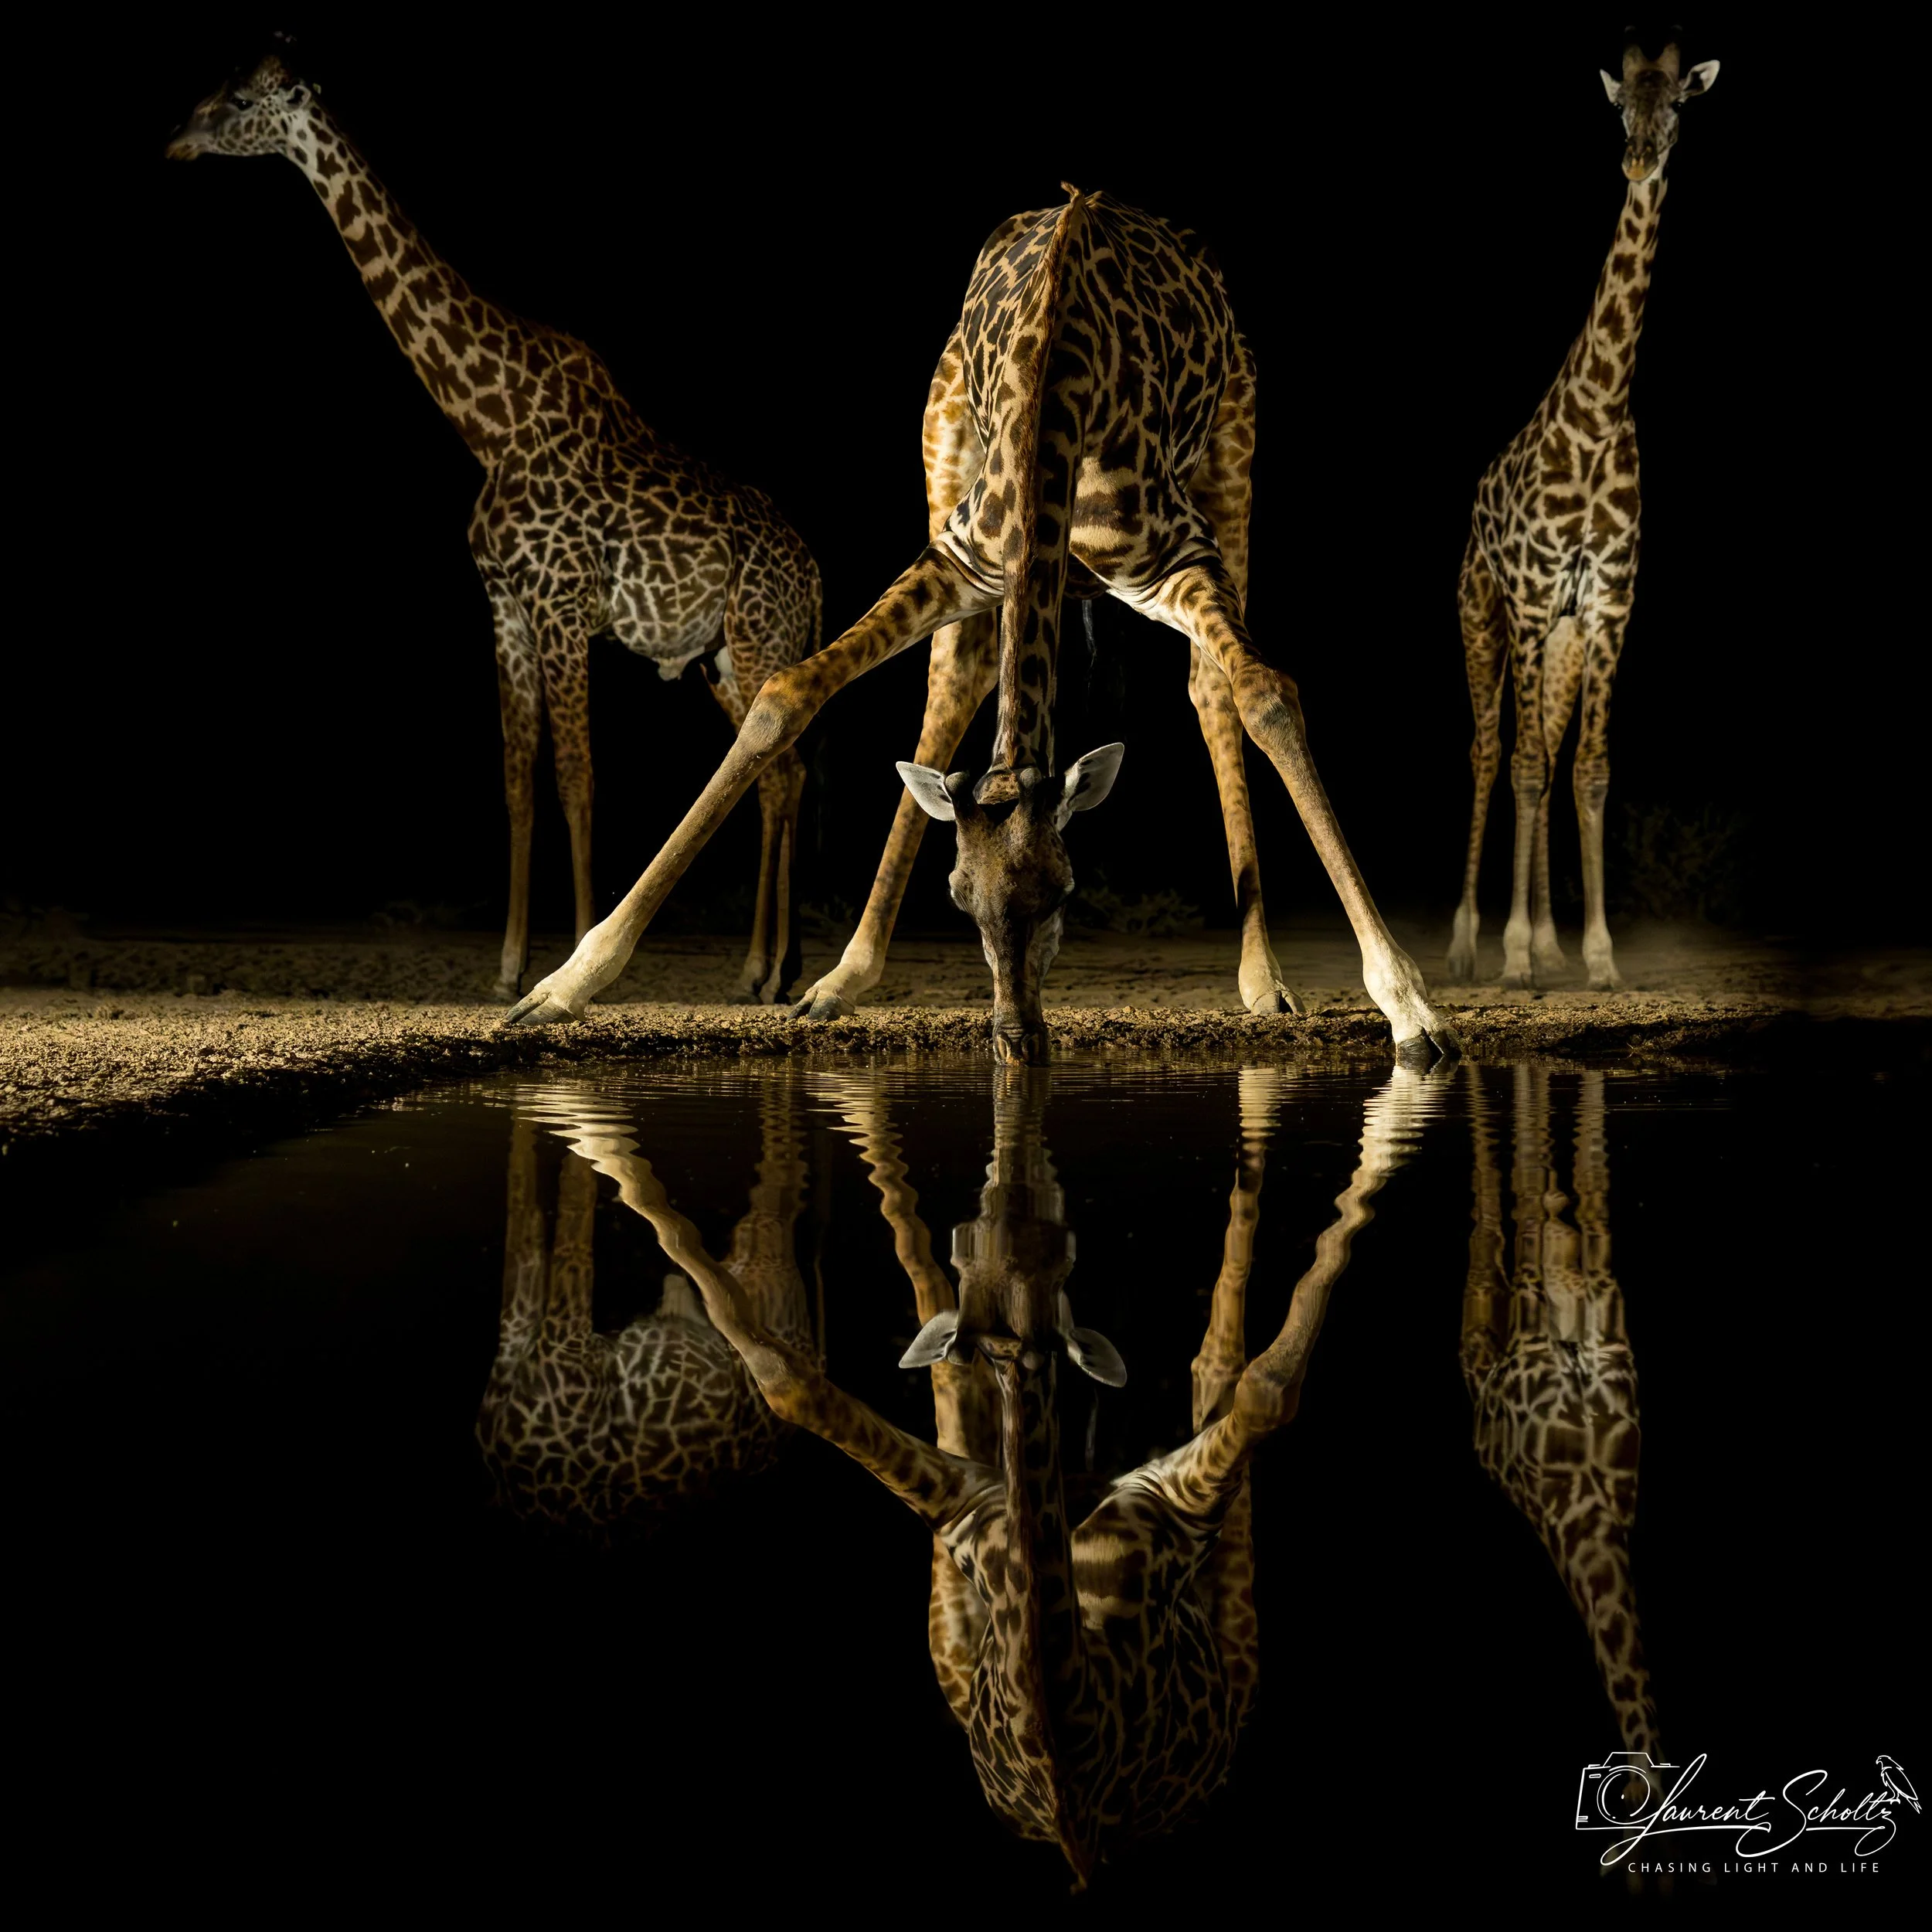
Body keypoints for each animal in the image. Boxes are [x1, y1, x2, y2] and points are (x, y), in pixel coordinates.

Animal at [166, 45, 821, 1005]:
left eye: (241, 98)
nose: (176, 138)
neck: (485, 418)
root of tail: (815, 572)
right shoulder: (506, 608)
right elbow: (517, 779)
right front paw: (508, 967)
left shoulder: (561, 608)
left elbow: (577, 777)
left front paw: (576, 956)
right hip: (722, 654)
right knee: (782, 767)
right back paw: (771, 971)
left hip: (758, 634)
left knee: (774, 773)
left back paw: (761, 972)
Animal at [505, 189, 1460, 1066]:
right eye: (959, 892)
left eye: (1067, 892)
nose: (1016, 1040)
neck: (1060, 392)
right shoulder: (959, 559)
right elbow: (787, 692)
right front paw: (562, 984)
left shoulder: (1178, 558)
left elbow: (1265, 694)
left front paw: (1409, 1006)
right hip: (941, 455)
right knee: (954, 678)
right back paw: (841, 978)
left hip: (1234, 454)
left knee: (1209, 688)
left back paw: (1262, 980)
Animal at [623, 1059, 1443, 1884]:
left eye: (1055, 1260)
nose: (1012, 1202)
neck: (1067, 1724)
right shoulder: (972, 1503)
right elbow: (790, 1383)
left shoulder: (1166, 1500)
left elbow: (1268, 1386)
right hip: (968, 1622)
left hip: (1216, 1638)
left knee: (1209, 1353)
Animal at [1446, 39, 1720, 992]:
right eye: (1618, 106)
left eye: (1678, 104)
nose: (1638, 162)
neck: (1598, 414)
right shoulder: (1532, 602)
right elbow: (1525, 768)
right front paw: (1514, 956)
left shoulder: (1607, 607)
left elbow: (1590, 772)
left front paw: (1595, 956)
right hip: (1484, 617)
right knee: (1492, 752)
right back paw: (1470, 945)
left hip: (1560, 644)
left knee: (1551, 751)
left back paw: (1549, 942)